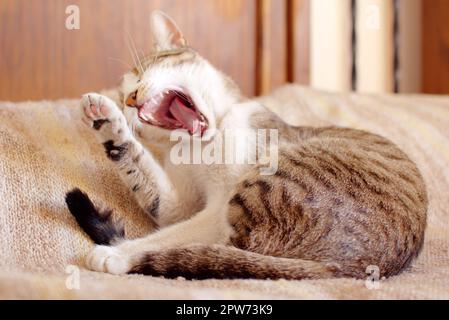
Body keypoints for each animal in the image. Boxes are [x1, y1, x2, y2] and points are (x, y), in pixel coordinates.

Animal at [65, 10, 426, 280]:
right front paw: (105, 121)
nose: (130, 98)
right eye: (125, 96)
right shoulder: (178, 205)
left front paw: (116, 253)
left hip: (267, 183)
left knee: (216, 251)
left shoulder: (216, 208)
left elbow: (171, 236)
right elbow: (145, 176)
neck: (200, 145)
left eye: (142, 71)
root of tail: (357, 265)